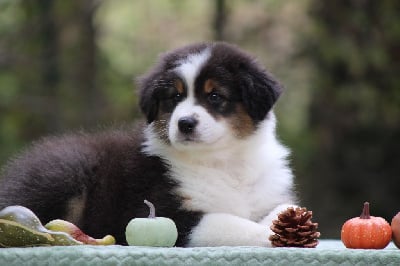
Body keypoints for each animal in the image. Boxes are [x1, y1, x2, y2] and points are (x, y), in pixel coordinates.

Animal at [0, 42, 294, 247]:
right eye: (174, 97)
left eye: (214, 96)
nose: (185, 123)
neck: (223, 161)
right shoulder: (165, 210)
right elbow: (227, 222)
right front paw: (274, 234)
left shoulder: (271, 193)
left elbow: (282, 208)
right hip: (68, 168)